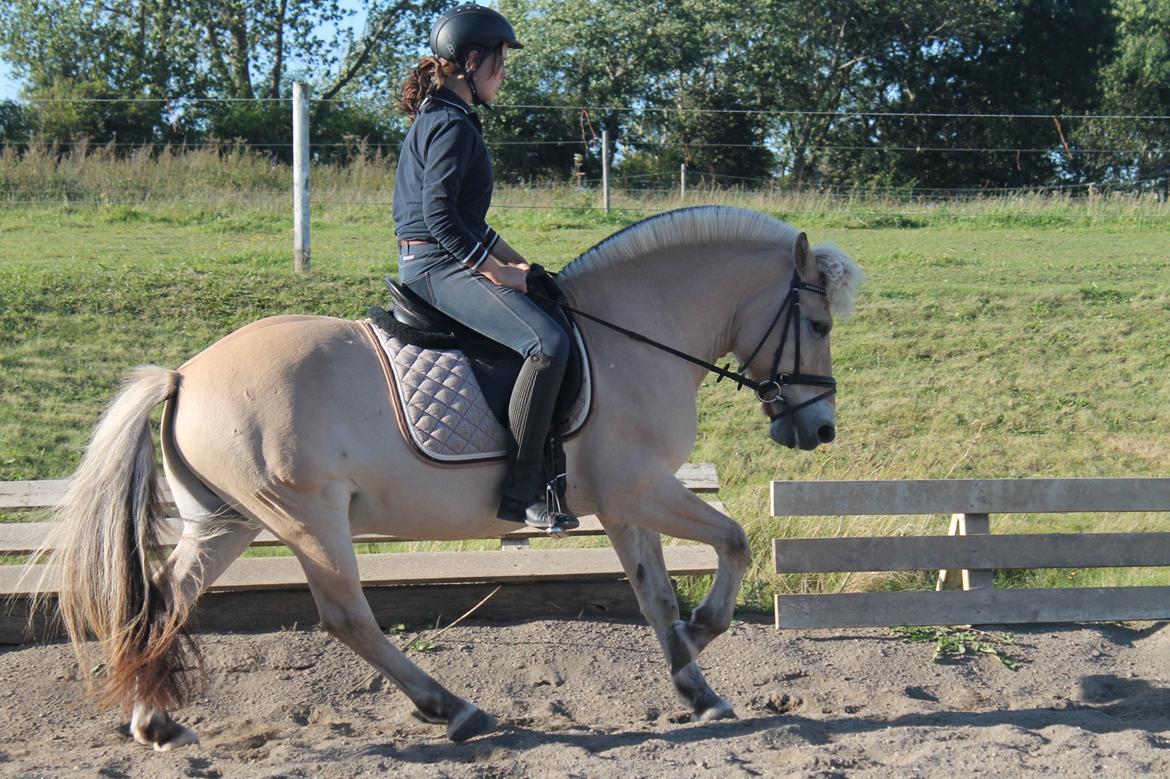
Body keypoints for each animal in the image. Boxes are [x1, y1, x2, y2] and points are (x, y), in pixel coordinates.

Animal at [39, 205, 862, 750]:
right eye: (820, 325)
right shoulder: (642, 488)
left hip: (227, 522)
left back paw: (155, 721)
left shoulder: (625, 503)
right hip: (307, 519)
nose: (819, 429)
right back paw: (454, 710)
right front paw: (702, 634)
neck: (634, 336)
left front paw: (697, 685)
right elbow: (735, 541)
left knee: (166, 599)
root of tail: (184, 373)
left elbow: (655, 594)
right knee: (347, 619)